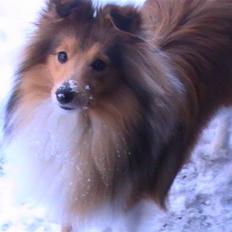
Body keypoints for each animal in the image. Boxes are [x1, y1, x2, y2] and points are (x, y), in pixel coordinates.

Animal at [3, 0, 232, 231]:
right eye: (62, 56)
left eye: (99, 64)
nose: (64, 94)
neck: (83, 124)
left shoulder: (129, 207)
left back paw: (217, 147)